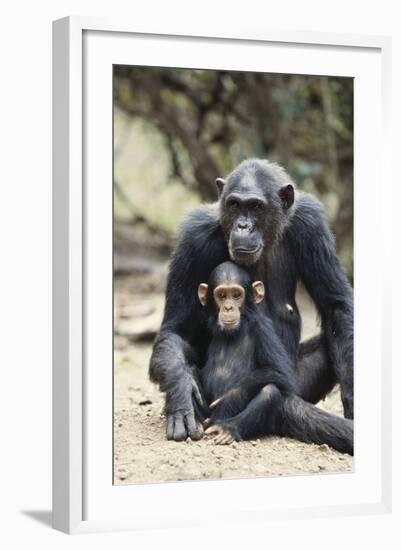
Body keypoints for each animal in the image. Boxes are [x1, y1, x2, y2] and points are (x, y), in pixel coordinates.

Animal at [196, 260, 350, 454]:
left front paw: (227, 400)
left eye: (237, 295)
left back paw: (228, 429)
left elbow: (279, 371)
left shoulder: (263, 329)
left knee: (270, 392)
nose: (228, 307)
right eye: (221, 295)